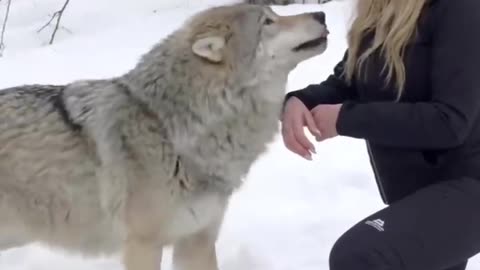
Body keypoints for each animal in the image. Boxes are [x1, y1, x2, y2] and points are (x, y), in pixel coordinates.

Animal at [0, 2, 328, 270]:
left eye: (274, 14)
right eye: (268, 22)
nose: (321, 14)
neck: (169, 129)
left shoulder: (197, 240)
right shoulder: (143, 245)